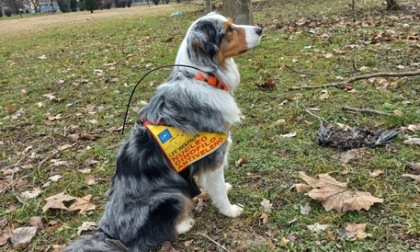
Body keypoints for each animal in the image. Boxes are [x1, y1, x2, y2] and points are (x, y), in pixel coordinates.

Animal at [64, 12, 260, 252]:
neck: (201, 77)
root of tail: (110, 233)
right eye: (228, 30)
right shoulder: (214, 156)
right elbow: (219, 190)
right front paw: (230, 210)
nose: (260, 29)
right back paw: (185, 223)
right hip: (170, 195)